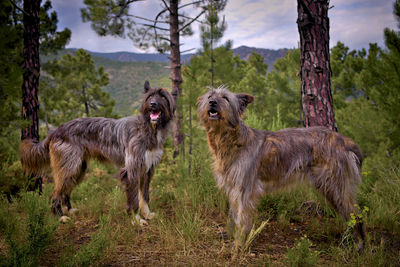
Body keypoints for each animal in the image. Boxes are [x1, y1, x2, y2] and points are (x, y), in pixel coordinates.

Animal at [20, 81, 173, 224]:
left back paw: (69, 210)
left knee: (65, 191)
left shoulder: (147, 170)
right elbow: (134, 198)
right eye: (150, 96)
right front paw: (136, 219)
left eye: (163, 97)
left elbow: (145, 196)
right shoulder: (131, 170)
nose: (152, 104)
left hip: (78, 168)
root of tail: (55, 130)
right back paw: (60, 217)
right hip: (68, 167)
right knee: (55, 194)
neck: (148, 127)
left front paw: (147, 214)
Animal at [197, 86, 366, 253]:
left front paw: (238, 245)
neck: (232, 140)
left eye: (225, 98)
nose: (212, 102)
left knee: (356, 213)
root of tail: (343, 140)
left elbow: (242, 219)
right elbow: (234, 214)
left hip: (335, 185)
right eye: (210, 96)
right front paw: (233, 237)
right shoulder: (233, 187)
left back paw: (359, 244)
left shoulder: (245, 189)